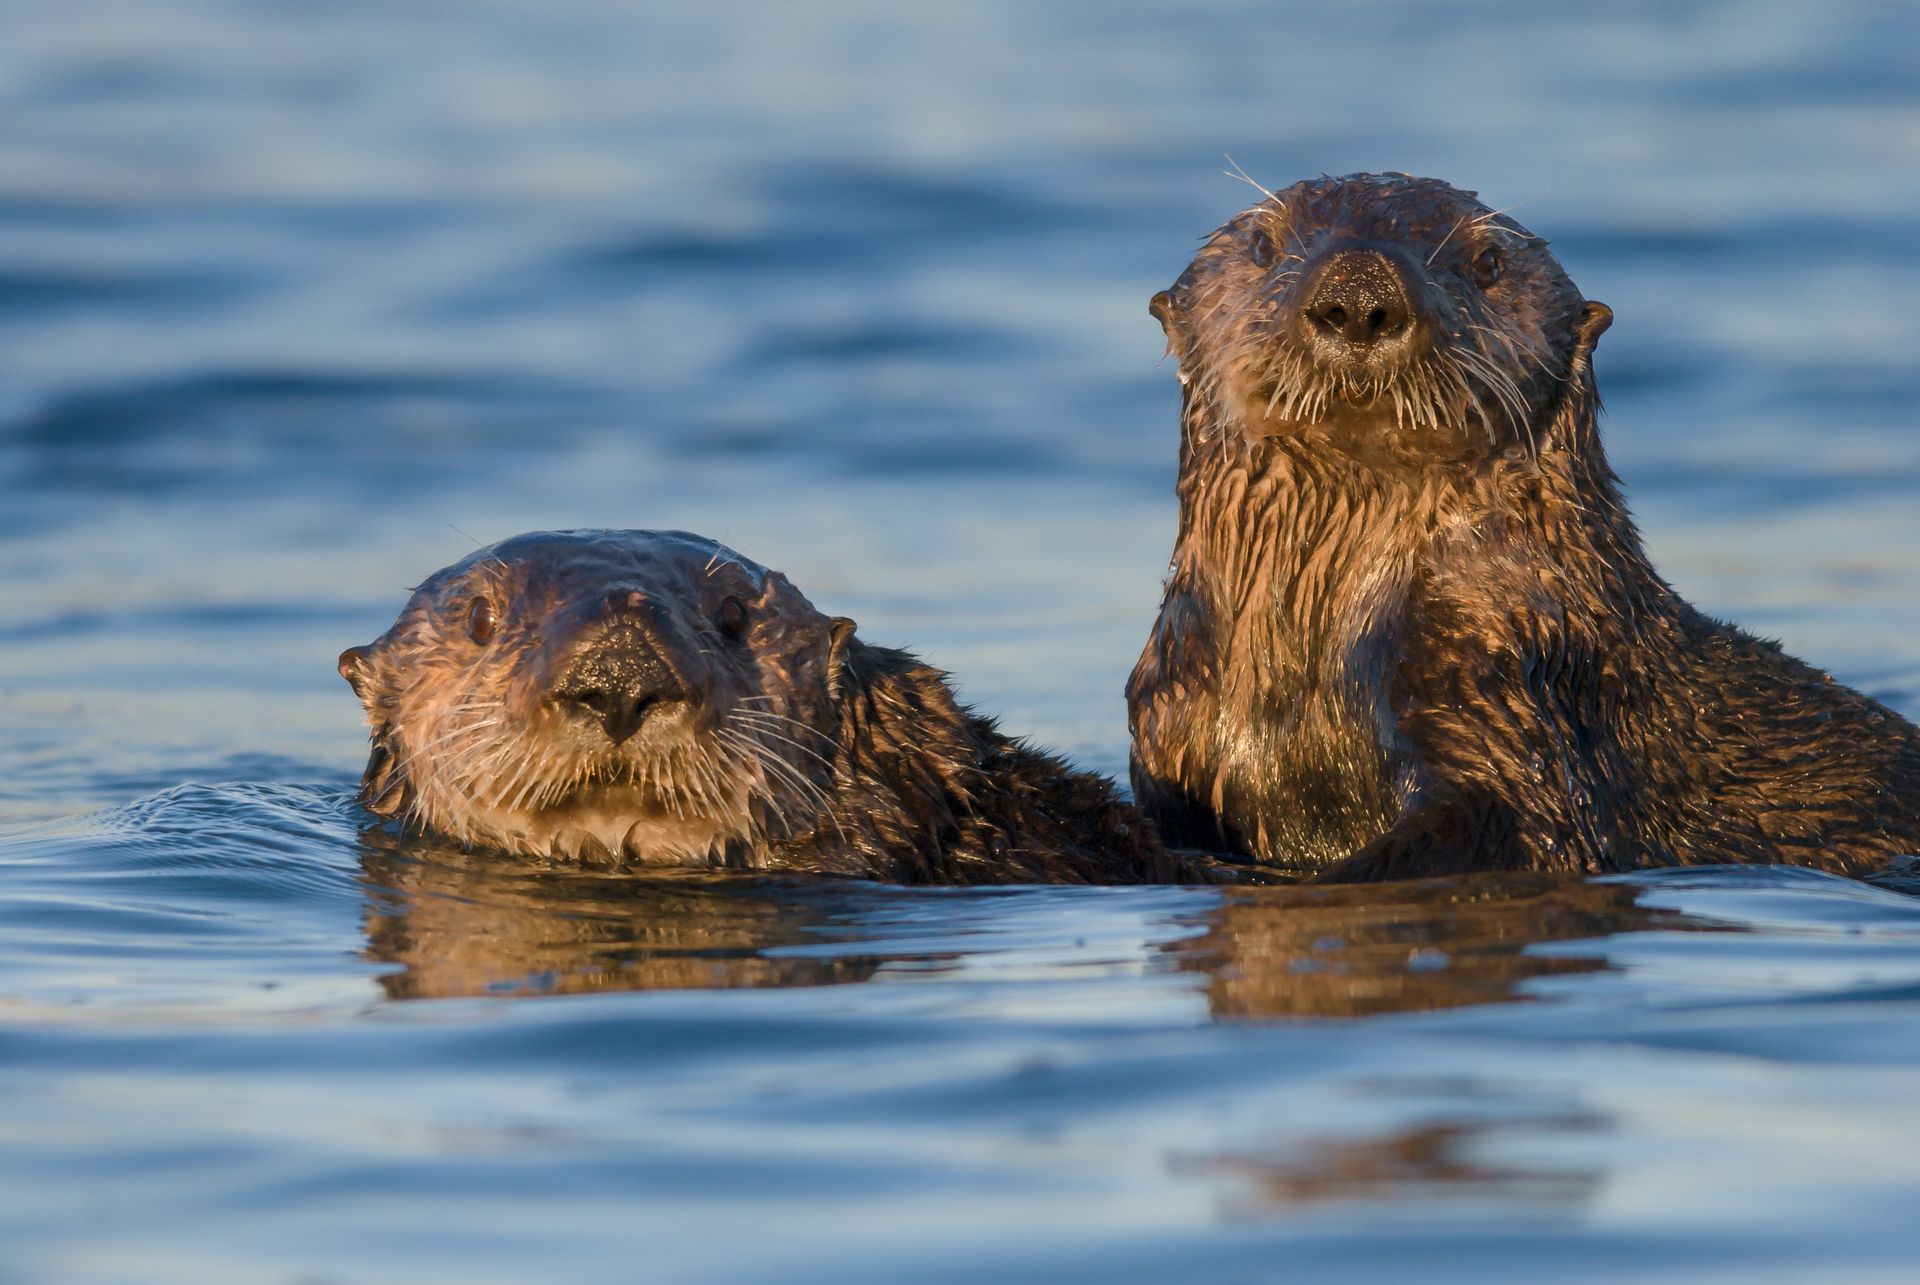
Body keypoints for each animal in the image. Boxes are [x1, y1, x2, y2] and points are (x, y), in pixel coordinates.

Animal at [1128, 171, 1920, 881]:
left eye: (1488, 262)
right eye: (1263, 245)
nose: (1359, 286)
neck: (1313, 655)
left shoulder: (1504, 683)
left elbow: (1511, 827)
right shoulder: (1171, 714)